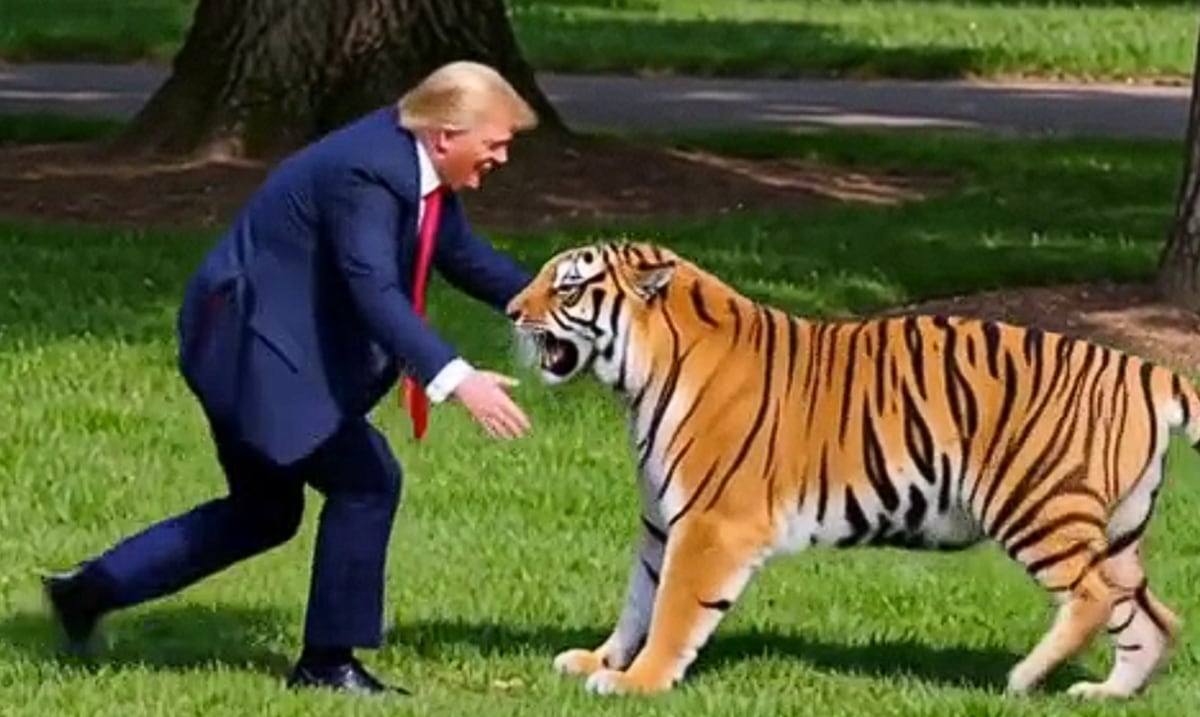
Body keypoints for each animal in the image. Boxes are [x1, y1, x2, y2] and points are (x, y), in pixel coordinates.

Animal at [503, 240, 1199, 699]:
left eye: (566, 287)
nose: (510, 309)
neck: (638, 383)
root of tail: (1144, 368)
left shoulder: (710, 525)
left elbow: (675, 609)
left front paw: (636, 683)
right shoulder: (660, 524)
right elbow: (637, 601)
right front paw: (599, 661)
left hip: (1037, 506)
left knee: (1092, 597)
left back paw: (1022, 678)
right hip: (1115, 532)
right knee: (1152, 617)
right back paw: (1105, 694)